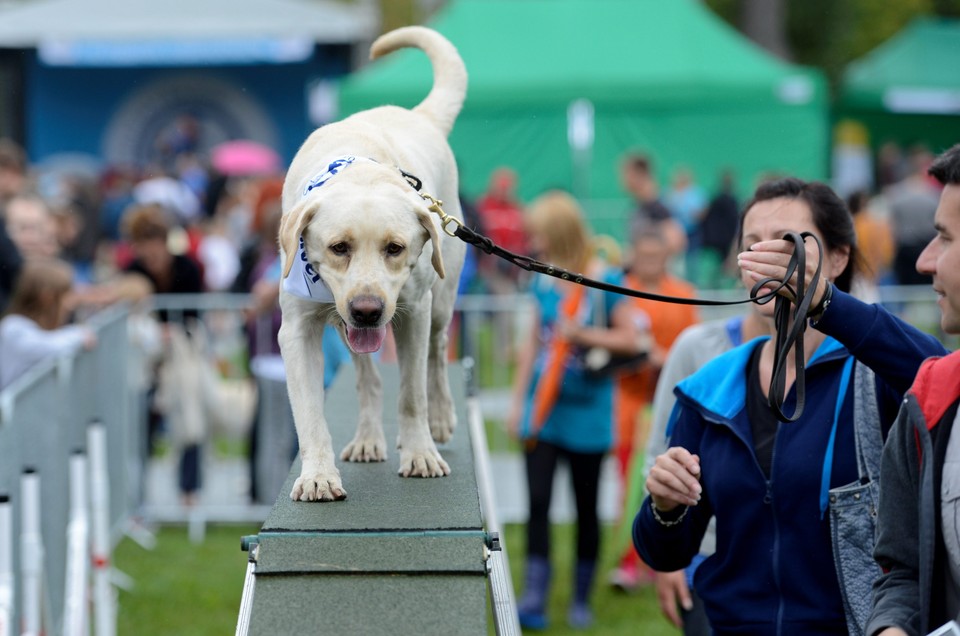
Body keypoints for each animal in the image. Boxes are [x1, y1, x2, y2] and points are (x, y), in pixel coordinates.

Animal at [278, 26, 468, 502]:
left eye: (395, 248)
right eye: (339, 247)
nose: (368, 309)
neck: (355, 167)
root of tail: (418, 115)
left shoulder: (415, 312)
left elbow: (412, 394)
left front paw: (420, 454)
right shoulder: (297, 329)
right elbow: (309, 412)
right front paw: (318, 475)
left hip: (441, 299)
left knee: (437, 353)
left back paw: (439, 418)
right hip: (346, 327)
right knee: (368, 379)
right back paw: (367, 439)